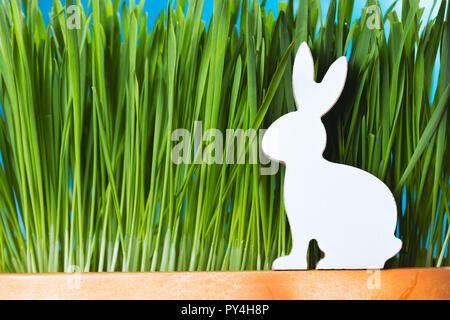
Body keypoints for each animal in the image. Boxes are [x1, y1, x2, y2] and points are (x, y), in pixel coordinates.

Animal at [262, 41, 402, 268]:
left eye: (290, 127)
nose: (265, 144)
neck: (307, 163)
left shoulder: (301, 225)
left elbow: (300, 244)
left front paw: (288, 264)